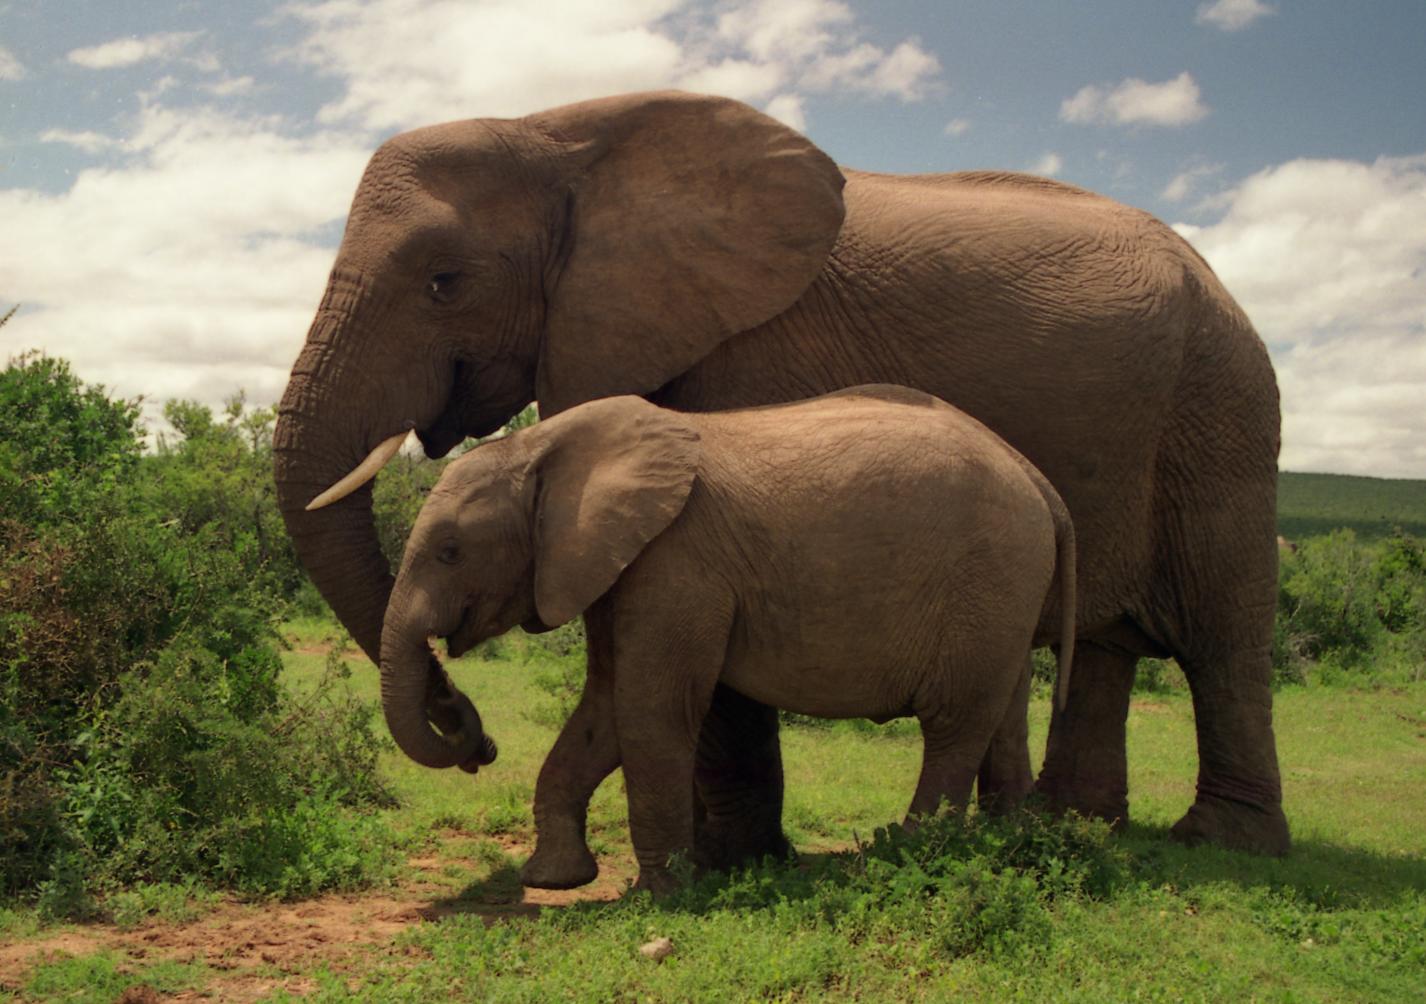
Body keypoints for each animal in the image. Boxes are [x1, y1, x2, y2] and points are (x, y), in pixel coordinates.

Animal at [379, 387, 1078, 892]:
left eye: (449, 551)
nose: (481, 746)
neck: (541, 446)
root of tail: (1040, 481)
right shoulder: (614, 567)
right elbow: (604, 710)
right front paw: (554, 880)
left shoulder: (676, 562)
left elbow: (650, 709)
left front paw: (663, 896)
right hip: (1005, 594)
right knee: (1004, 715)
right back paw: (1006, 847)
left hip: (986, 579)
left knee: (954, 724)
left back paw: (907, 856)